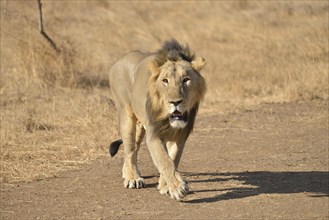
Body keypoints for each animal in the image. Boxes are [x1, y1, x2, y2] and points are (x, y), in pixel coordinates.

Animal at [107, 38, 205, 200]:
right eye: (165, 81)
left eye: (186, 80)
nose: (175, 102)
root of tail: (117, 62)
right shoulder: (154, 133)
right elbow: (165, 161)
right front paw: (177, 188)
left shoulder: (181, 135)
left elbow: (173, 158)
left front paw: (165, 186)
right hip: (126, 115)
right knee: (129, 148)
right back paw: (133, 178)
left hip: (140, 125)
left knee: (134, 148)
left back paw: (127, 173)